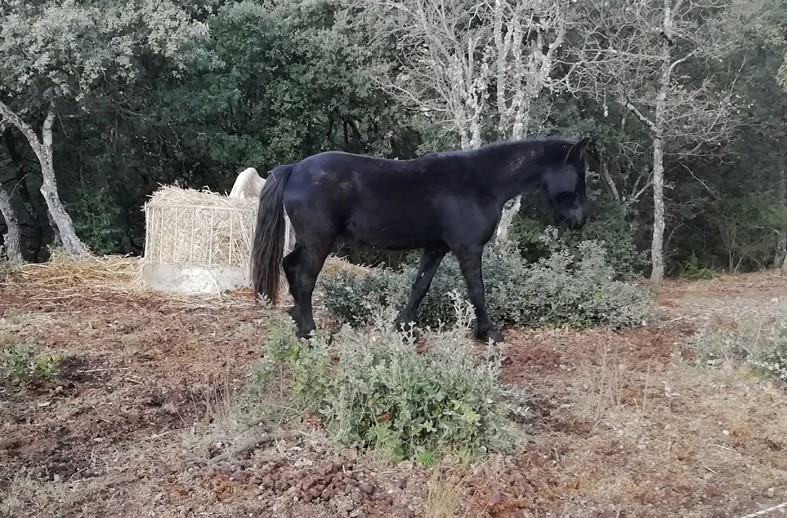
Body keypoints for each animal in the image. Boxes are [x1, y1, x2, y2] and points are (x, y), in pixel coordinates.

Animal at [252, 136, 592, 344]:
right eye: (580, 173)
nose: (580, 219)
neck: (481, 182)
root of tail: (295, 169)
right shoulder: (468, 249)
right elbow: (477, 290)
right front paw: (488, 333)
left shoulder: (436, 248)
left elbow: (420, 286)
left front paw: (404, 327)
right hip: (319, 242)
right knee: (305, 279)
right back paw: (309, 331)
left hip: (309, 242)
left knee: (290, 267)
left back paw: (297, 319)